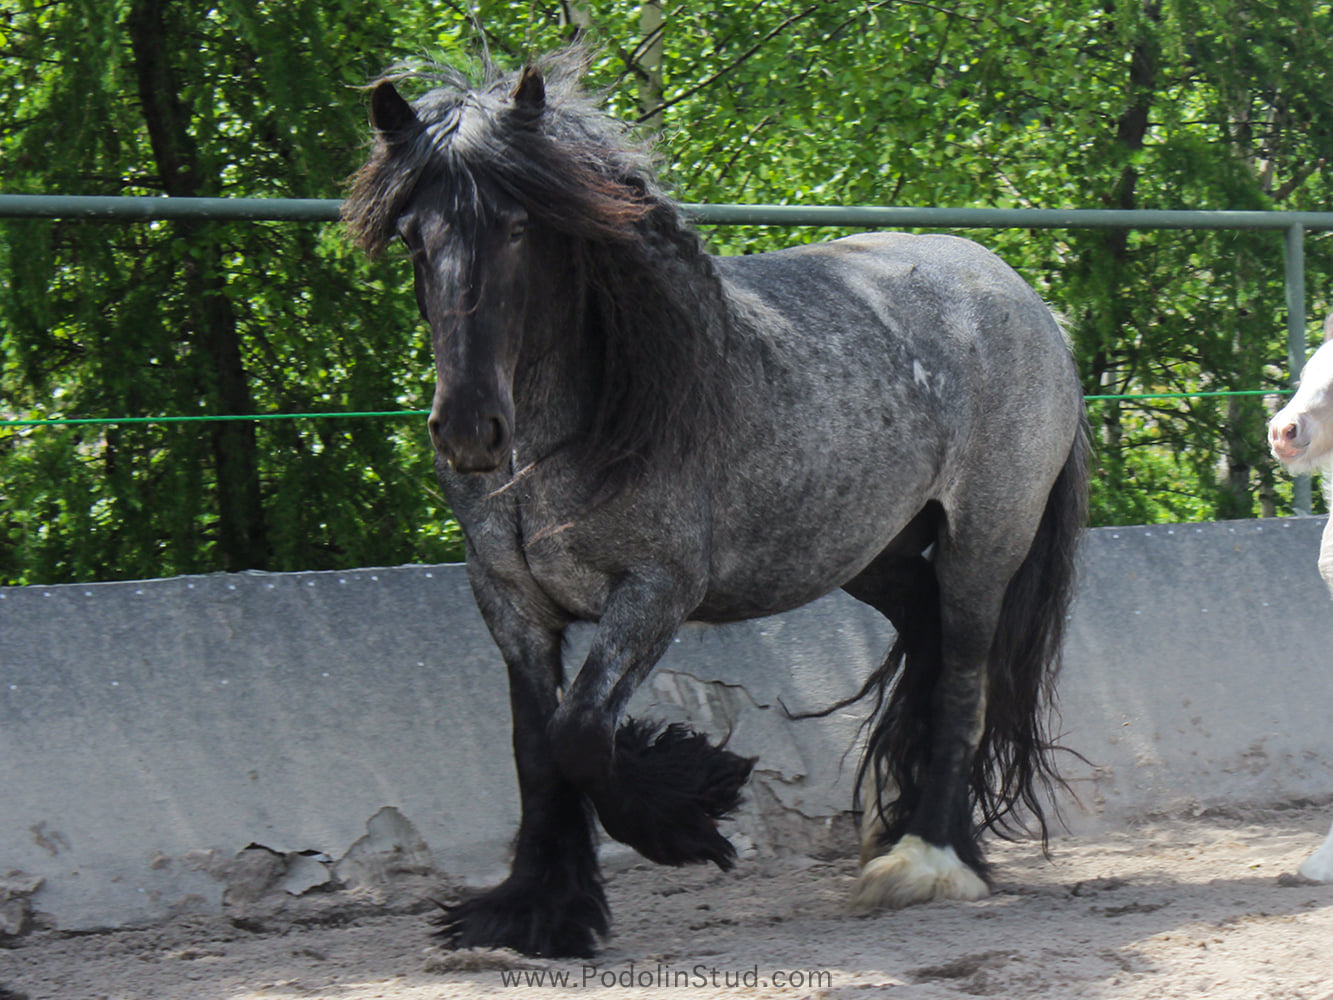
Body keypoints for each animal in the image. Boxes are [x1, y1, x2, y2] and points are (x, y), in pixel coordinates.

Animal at [346, 51, 1093, 960]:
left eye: (518, 228)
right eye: (413, 237)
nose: (468, 429)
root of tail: (1028, 302)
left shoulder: (655, 590)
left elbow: (579, 735)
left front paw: (687, 811)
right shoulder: (509, 602)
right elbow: (534, 748)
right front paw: (537, 909)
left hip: (982, 545)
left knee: (961, 680)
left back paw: (926, 860)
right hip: (869, 552)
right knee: (925, 640)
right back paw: (898, 828)